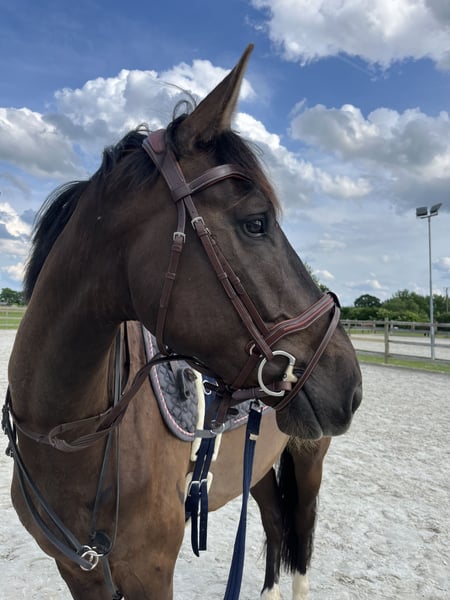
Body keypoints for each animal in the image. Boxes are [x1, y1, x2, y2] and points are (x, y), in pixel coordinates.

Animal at [4, 44, 362, 599]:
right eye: (256, 222)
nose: (349, 382)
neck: (64, 435)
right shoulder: (78, 573)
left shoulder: (152, 576)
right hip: (258, 466)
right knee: (274, 523)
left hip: (309, 459)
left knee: (300, 536)